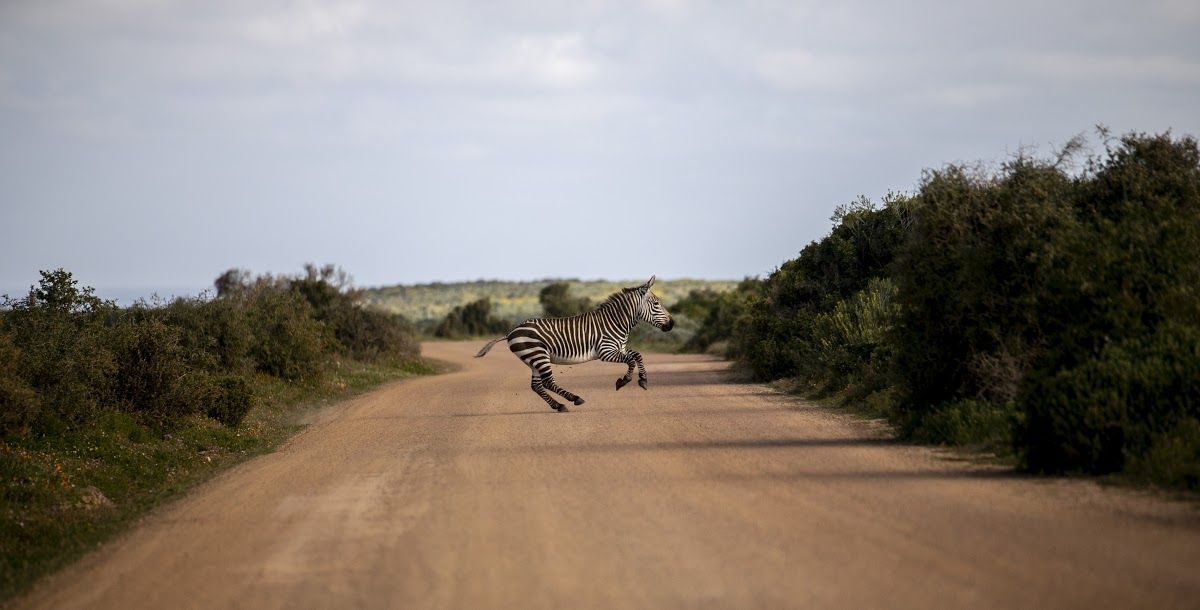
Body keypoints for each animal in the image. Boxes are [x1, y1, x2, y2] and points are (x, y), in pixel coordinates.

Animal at [470, 274, 676, 410]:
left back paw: (558, 405)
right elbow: (632, 360)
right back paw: (574, 398)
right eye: (656, 304)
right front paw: (623, 381)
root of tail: (511, 331)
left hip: (532, 359)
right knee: (548, 382)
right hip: (538, 355)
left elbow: (637, 356)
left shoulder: (620, 349)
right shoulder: (606, 352)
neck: (616, 322)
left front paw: (643, 380)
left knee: (537, 386)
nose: (672, 324)